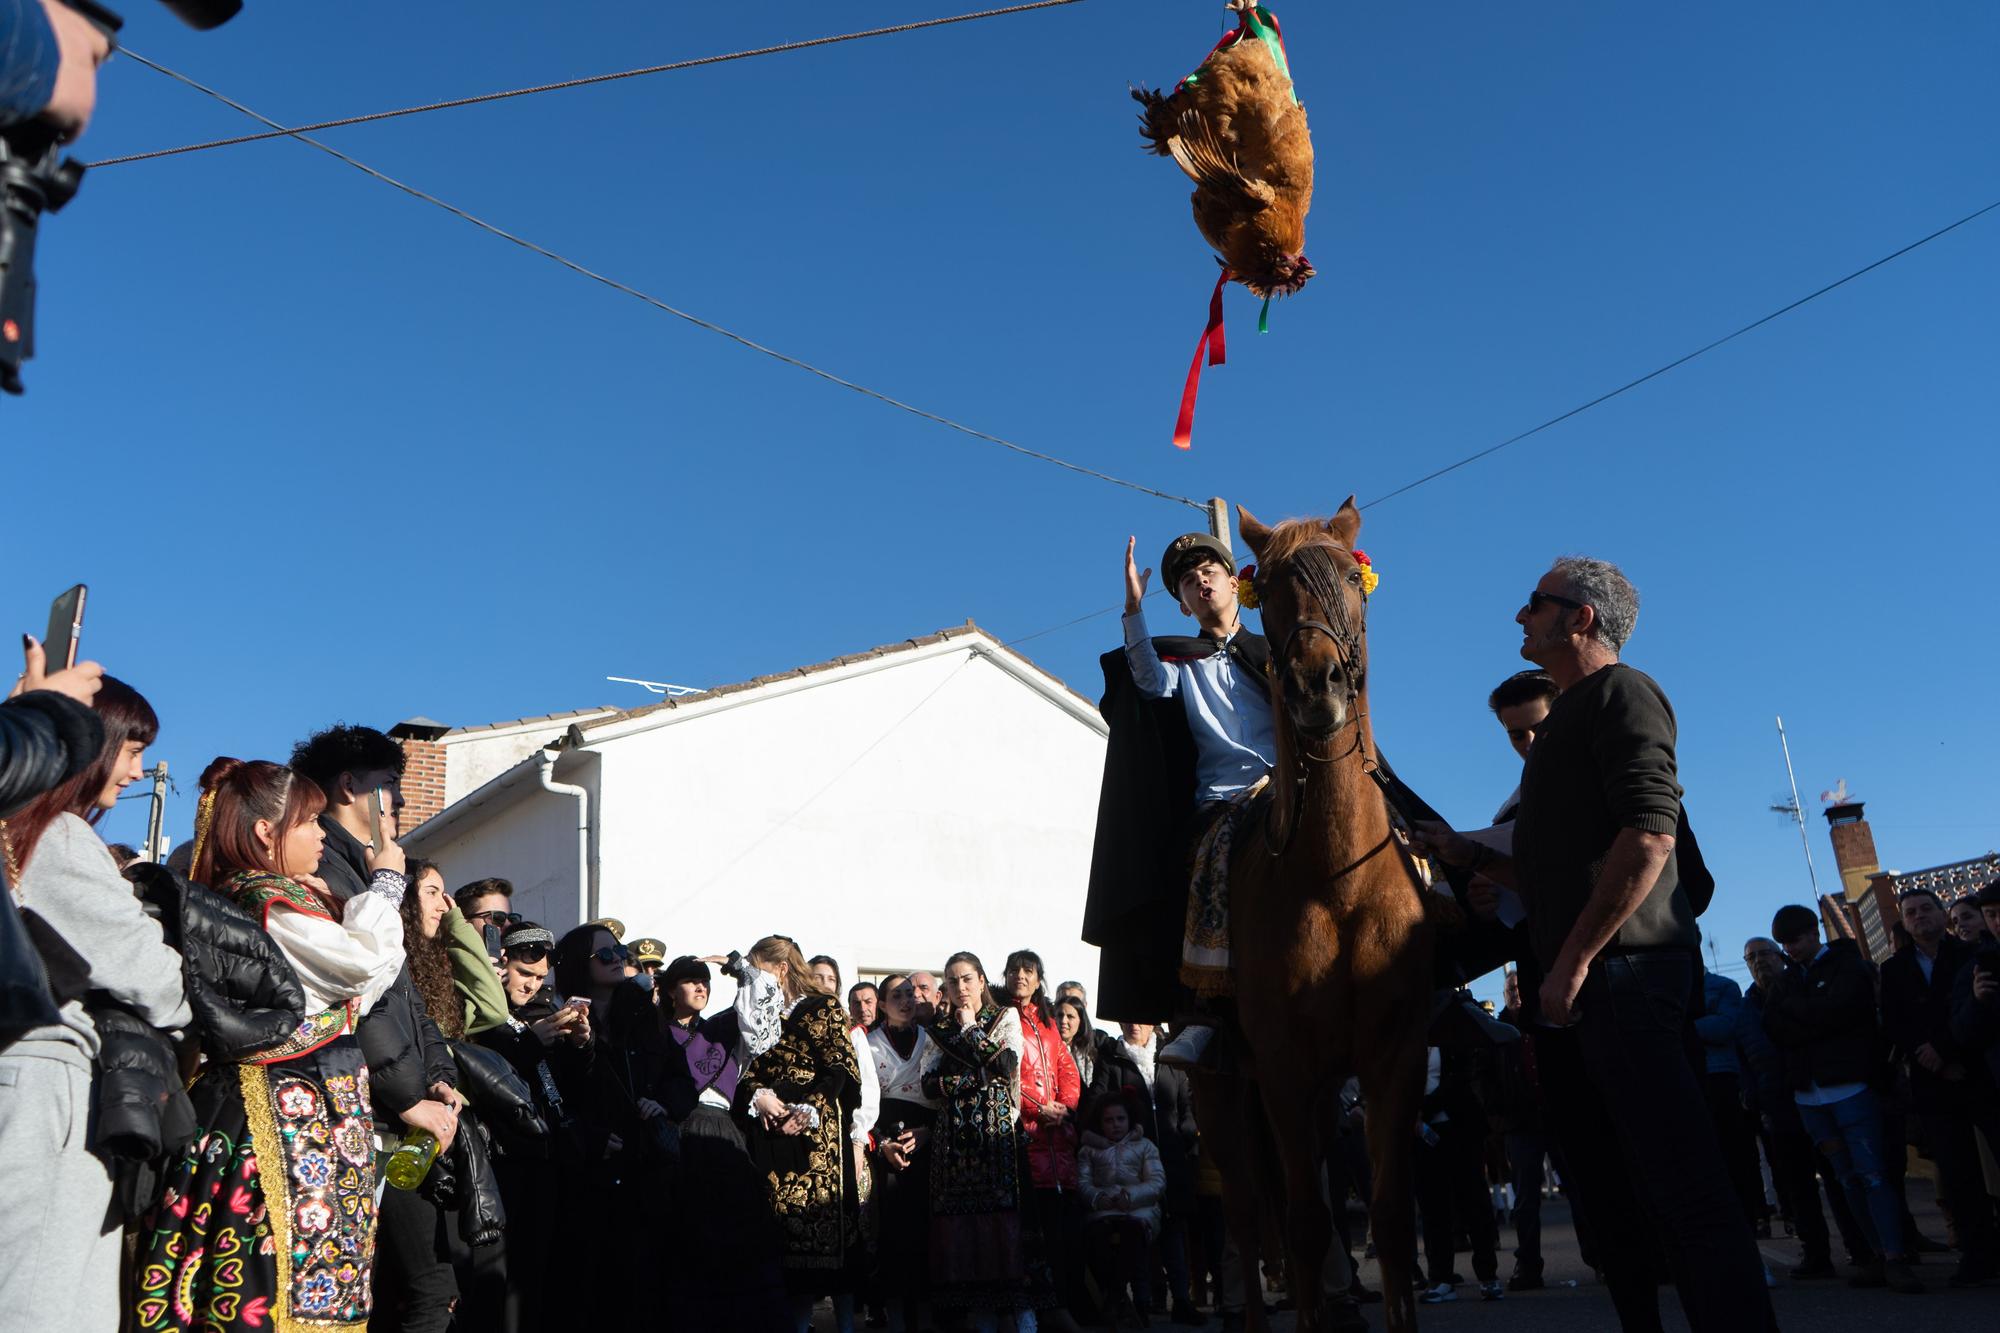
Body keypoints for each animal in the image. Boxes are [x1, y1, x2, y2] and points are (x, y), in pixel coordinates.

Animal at [1192, 500, 1448, 1328]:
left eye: (1348, 578)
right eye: (1268, 587)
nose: (1315, 684)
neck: (1337, 883)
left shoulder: (1393, 1055)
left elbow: (1391, 1217)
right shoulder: (1279, 1064)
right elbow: (1302, 1224)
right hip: (1219, 1092)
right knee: (1247, 1217)